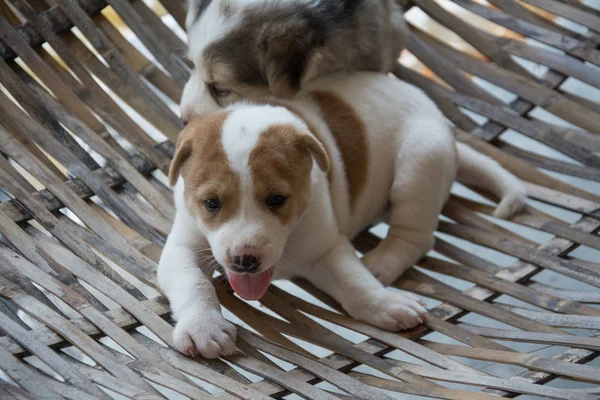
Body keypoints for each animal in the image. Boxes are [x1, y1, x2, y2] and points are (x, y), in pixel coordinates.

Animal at [158, 72, 524, 360]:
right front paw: (203, 327)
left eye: (277, 199)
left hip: (421, 161)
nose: (244, 261)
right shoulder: (182, 246)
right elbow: (192, 281)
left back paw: (383, 262)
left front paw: (387, 305)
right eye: (211, 204)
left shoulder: (327, 248)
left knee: (414, 236)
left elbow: (354, 283)